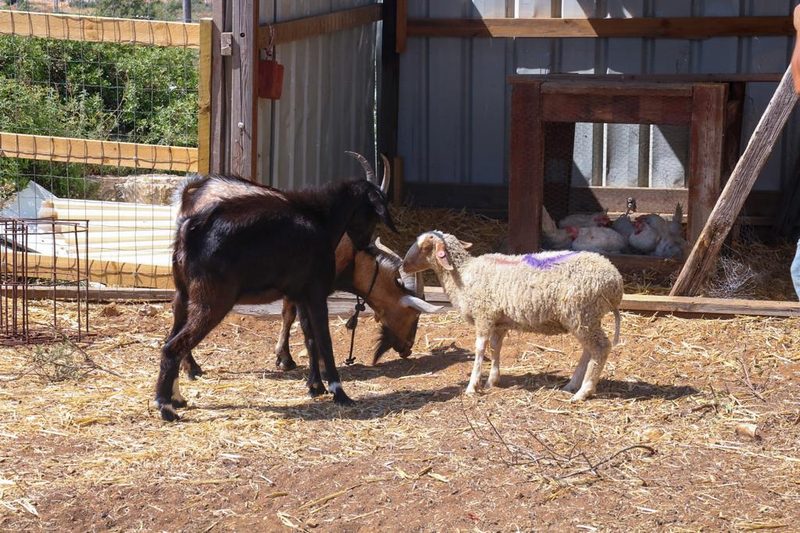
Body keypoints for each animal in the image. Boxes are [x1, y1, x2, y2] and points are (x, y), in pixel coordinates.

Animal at [156, 153, 397, 420]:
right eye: (373, 213)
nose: (364, 243)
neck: (320, 219)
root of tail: (190, 228)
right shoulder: (316, 291)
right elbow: (324, 340)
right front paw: (338, 392)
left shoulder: (299, 293)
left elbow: (309, 336)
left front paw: (314, 385)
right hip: (212, 300)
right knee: (172, 346)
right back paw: (166, 407)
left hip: (183, 293)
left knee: (171, 336)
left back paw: (177, 397)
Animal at [402, 231, 623, 401]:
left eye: (424, 247)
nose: (403, 265)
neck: (463, 274)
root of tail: (615, 280)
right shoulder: (499, 322)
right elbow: (495, 347)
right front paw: (492, 380)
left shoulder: (484, 316)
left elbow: (480, 349)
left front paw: (473, 386)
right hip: (585, 319)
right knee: (589, 350)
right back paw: (573, 385)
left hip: (582, 313)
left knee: (600, 348)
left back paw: (584, 391)